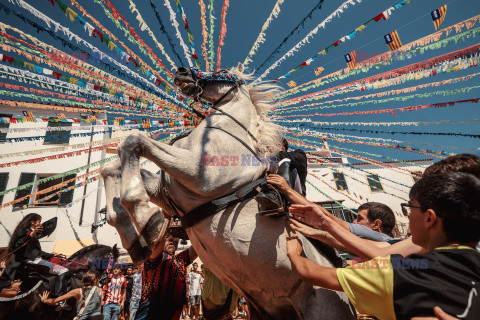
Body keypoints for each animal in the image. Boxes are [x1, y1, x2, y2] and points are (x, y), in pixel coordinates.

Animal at [101, 65, 356, 320]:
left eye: (222, 71)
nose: (182, 72)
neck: (226, 133)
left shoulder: (200, 175)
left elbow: (134, 140)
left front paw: (148, 222)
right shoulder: (166, 190)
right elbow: (112, 165)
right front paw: (136, 236)